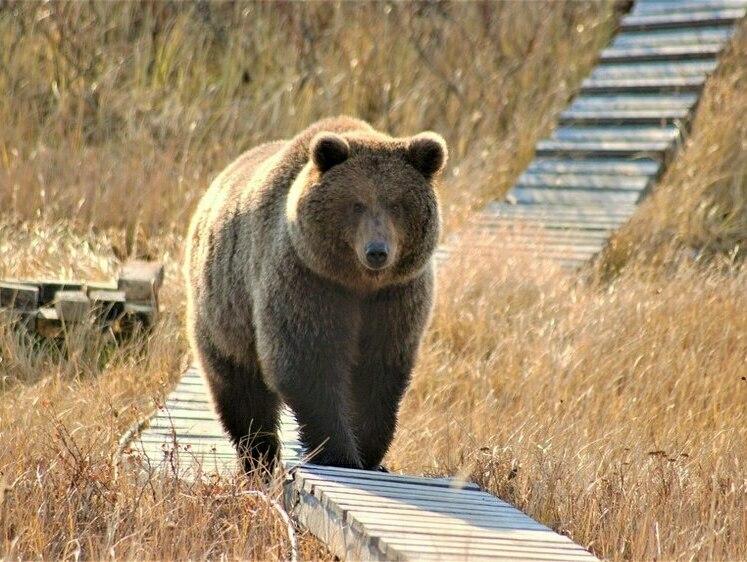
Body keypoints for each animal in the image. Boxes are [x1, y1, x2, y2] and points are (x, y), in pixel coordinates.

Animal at [185, 116, 448, 470]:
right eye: (356, 204)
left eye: (396, 204)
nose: (377, 251)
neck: (358, 283)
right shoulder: (307, 281)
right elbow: (307, 362)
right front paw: (340, 453)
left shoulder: (395, 296)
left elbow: (379, 372)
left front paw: (370, 453)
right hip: (224, 314)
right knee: (241, 394)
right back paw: (259, 458)